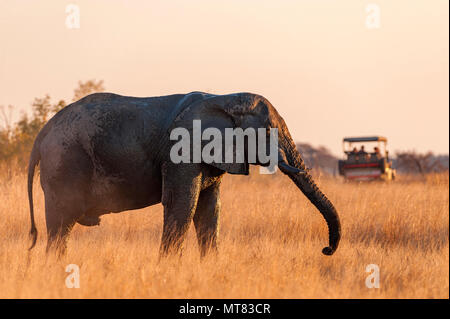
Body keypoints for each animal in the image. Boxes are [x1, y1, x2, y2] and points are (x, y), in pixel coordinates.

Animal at [28, 92, 342, 258]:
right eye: (267, 131)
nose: (325, 250)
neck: (225, 98)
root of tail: (43, 131)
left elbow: (209, 210)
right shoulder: (181, 151)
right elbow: (183, 205)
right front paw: (167, 271)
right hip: (64, 164)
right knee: (60, 224)